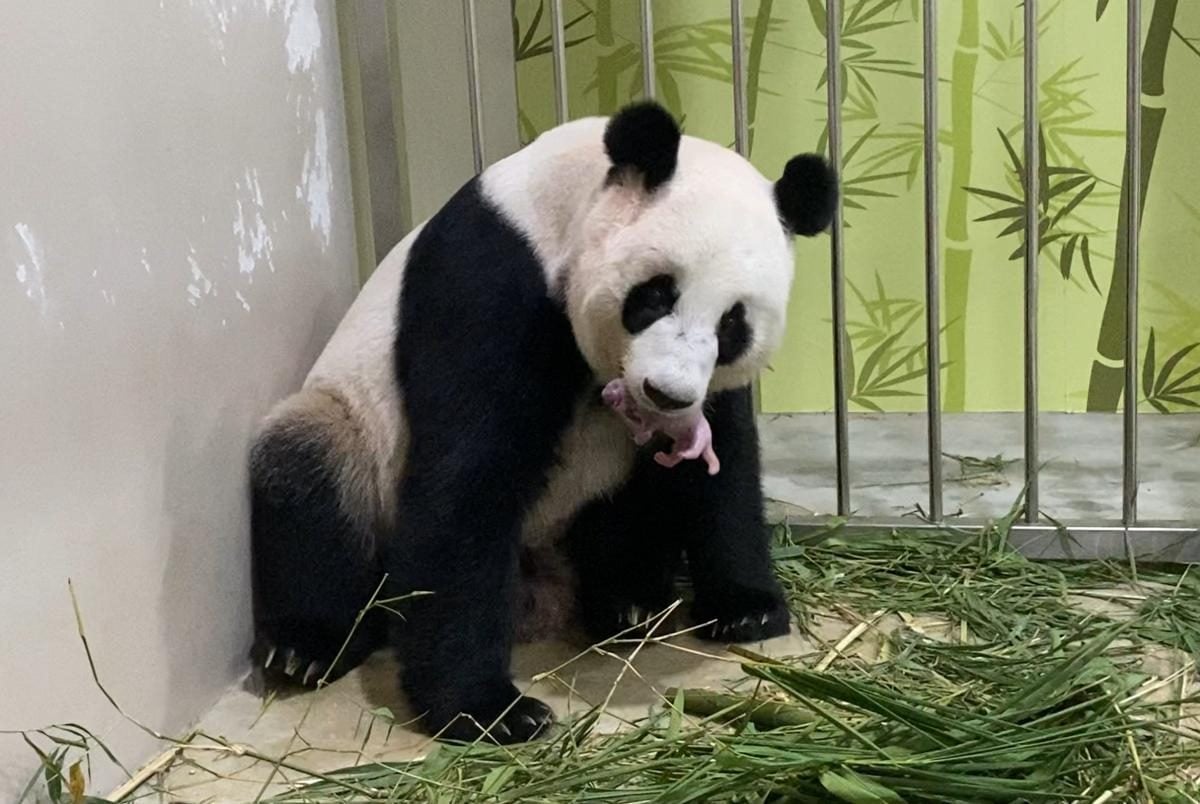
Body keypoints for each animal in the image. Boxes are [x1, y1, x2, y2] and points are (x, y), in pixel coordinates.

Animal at [248, 102, 835, 748]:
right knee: (310, 473)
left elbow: (723, 463)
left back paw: (627, 598)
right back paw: (307, 647)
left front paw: (746, 608)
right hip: (353, 432)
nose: (666, 393)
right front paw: (489, 710)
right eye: (656, 295)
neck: (561, 207)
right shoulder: (491, 281)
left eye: (733, 324)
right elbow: (468, 477)